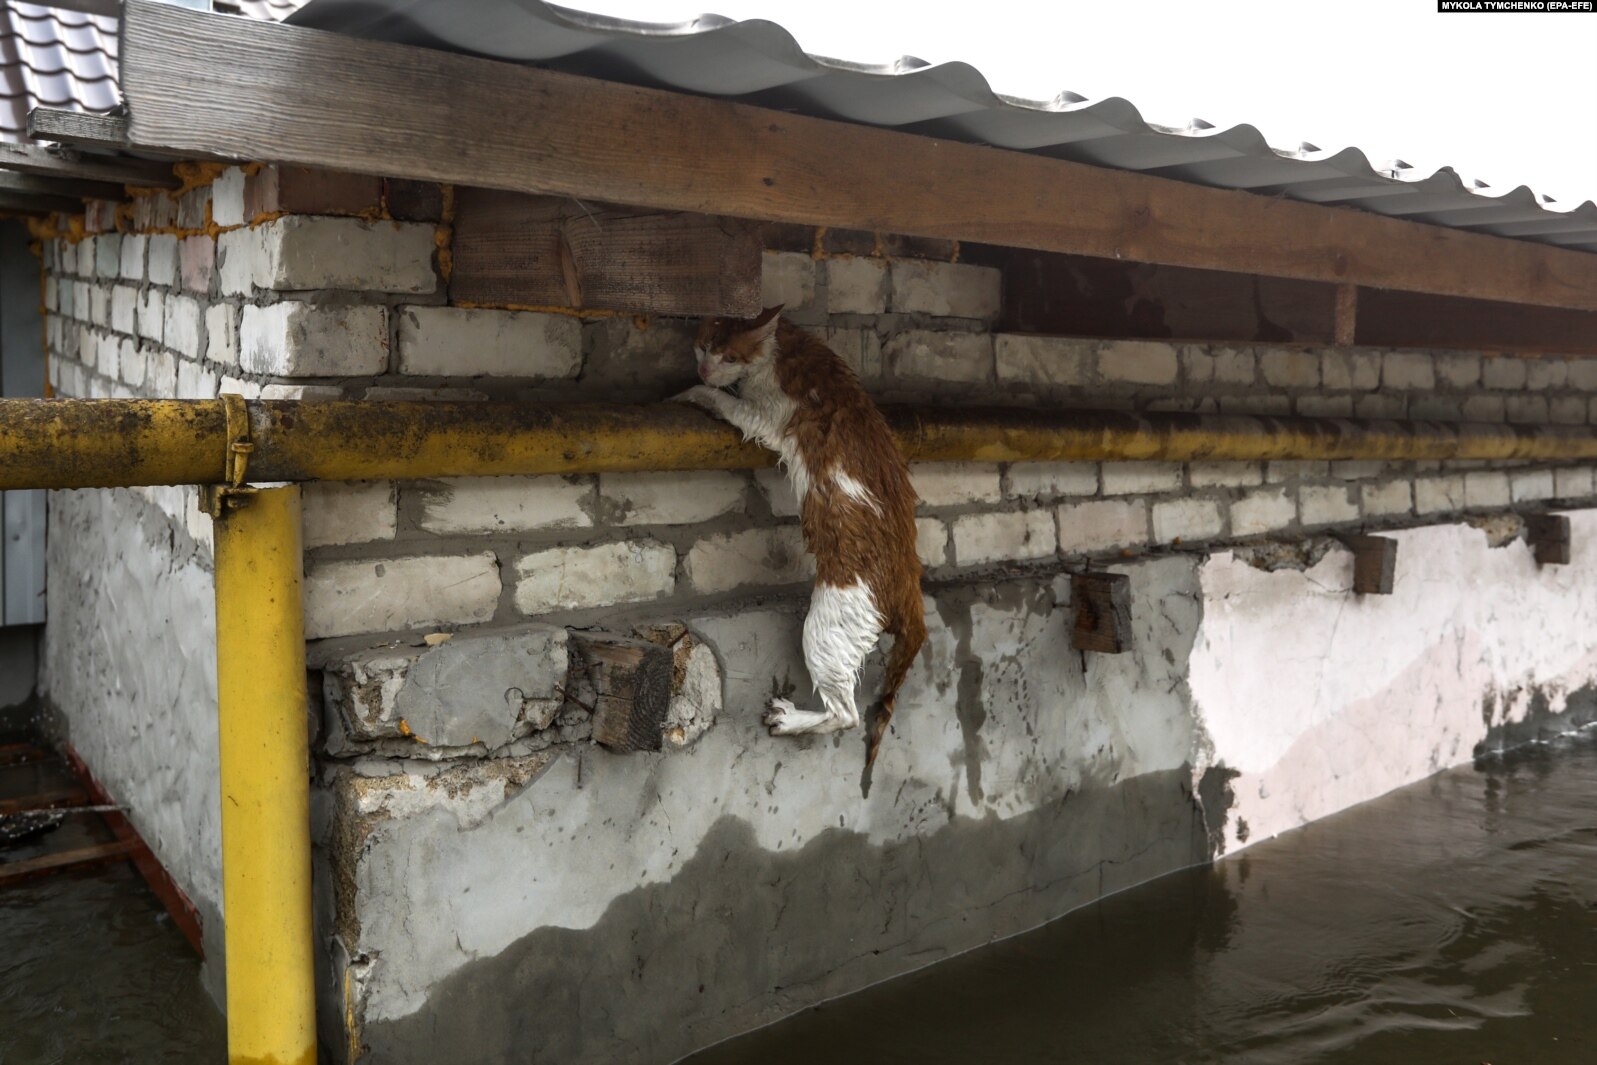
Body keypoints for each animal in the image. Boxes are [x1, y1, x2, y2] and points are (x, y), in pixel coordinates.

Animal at [673, 305, 925, 768]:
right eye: (703, 346)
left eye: (729, 356)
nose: (704, 367)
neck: (787, 347)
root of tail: (911, 588)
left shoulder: (765, 414)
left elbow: (722, 399)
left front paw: (691, 391)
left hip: (825, 627)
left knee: (846, 715)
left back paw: (789, 719)